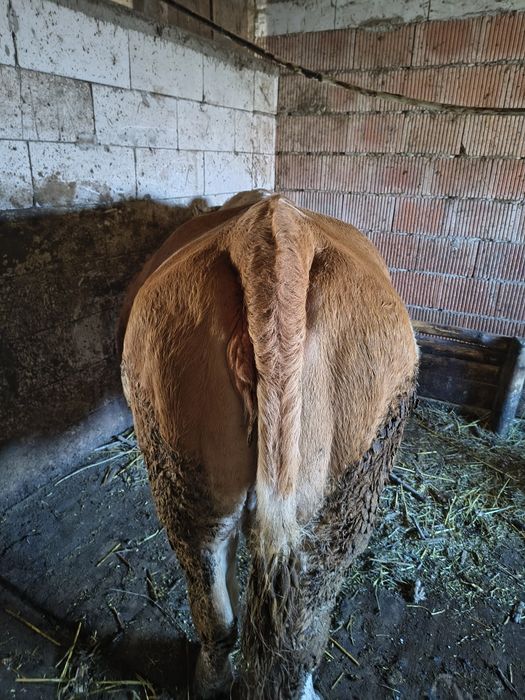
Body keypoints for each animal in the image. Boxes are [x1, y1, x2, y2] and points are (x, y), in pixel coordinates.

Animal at [119, 192, 418, 700]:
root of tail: (269, 229)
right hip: (343, 493)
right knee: (296, 620)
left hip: (188, 467)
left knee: (221, 604)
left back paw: (210, 683)